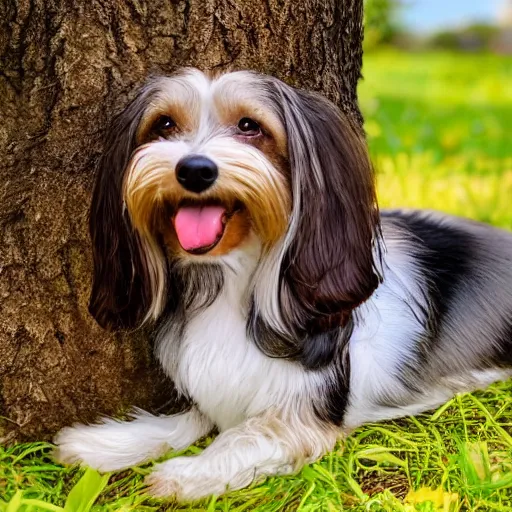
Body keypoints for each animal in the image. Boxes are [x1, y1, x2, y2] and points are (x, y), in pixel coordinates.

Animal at [54, 68, 512, 500]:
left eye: (250, 126)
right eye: (164, 124)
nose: (194, 169)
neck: (230, 279)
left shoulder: (308, 414)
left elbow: (248, 433)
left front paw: (187, 473)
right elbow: (187, 420)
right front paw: (108, 443)